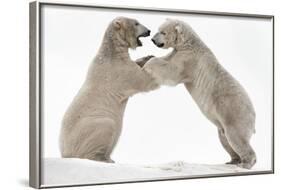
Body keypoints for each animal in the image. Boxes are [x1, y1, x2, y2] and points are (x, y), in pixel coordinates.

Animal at [59, 17, 159, 163]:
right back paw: (104, 158)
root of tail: (64, 153)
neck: (112, 53)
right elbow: (144, 80)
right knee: (107, 126)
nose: (149, 31)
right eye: (136, 23)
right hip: (89, 128)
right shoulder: (120, 71)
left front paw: (147, 57)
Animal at [144, 18, 256, 168]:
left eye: (163, 32)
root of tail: (254, 115)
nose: (152, 39)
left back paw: (245, 163)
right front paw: (146, 58)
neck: (190, 43)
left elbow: (171, 71)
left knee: (236, 137)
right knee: (225, 138)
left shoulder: (189, 61)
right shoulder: (178, 52)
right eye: (158, 29)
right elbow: (166, 59)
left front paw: (148, 63)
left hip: (233, 112)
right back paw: (232, 160)